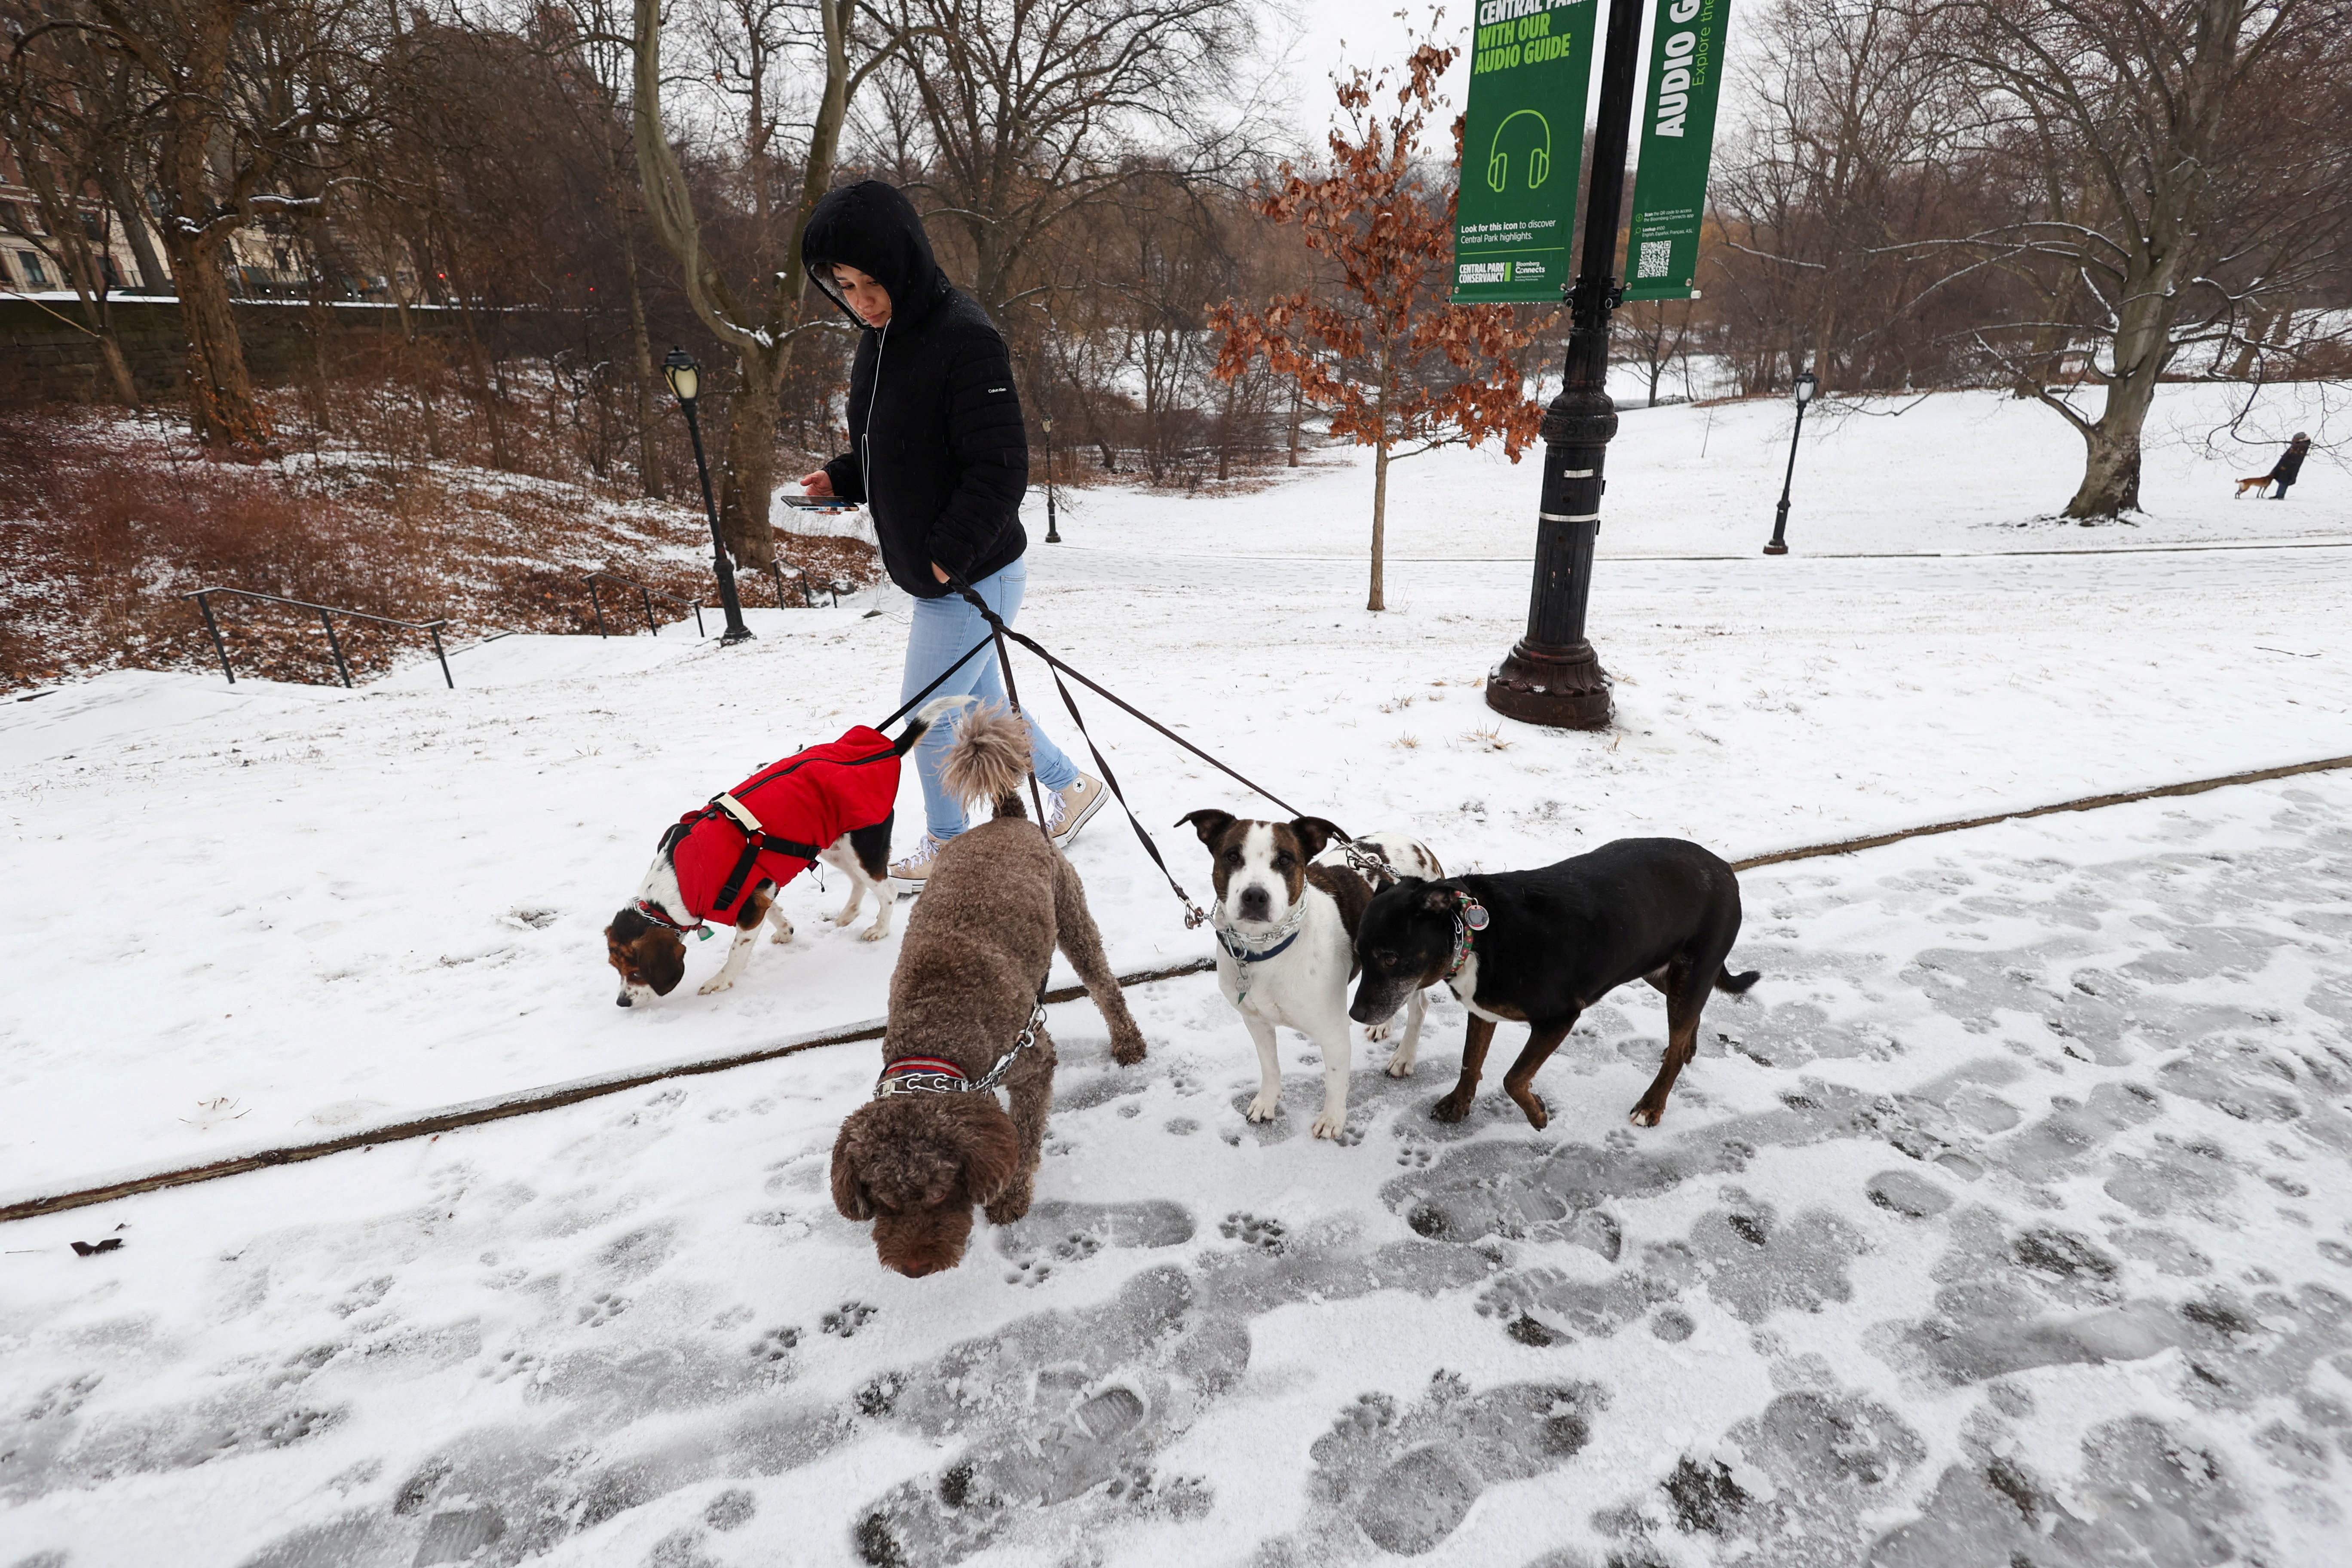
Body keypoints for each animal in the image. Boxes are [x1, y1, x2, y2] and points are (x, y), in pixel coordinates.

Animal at [611, 700, 969, 1006]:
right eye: (615, 967)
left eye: (636, 970)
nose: (622, 1002)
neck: (677, 879)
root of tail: (888, 749)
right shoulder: (760, 890)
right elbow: (774, 911)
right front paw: (785, 931)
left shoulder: (748, 905)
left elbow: (736, 952)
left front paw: (721, 981)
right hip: (832, 846)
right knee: (858, 882)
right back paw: (847, 915)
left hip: (863, 848)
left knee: (887, 890)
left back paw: (879, 929)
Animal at [833, 705, 1152, 1279]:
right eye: (881, 1198)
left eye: (940, 1192)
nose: (914, 1268)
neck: (935, 1034)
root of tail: (1006, 817)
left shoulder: (1032, 1061)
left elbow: (1023, 1139)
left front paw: (1011, 1196)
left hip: (1073, 917)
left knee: (1105, 988)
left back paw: (1128, 1042)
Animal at [1185, 808, 1439, 1142]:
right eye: (1232, 856)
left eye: (1285, 860)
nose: (1255, 896)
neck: (1264, 950)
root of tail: (1418, 845)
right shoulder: (1255, 1021)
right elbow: (1270, 1066)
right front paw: (1267, 1103)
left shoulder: (1333, 1033)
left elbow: (1335, 1081)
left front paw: (1332, 1120)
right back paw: (1382, 1025)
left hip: (1411, 964)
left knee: (1419, 1007)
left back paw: (1404, 1058)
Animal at [1354, 841, 1759, 1133]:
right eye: (1358, 952)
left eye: (1390, 958)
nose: (1355, 1014)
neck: (1474, 934)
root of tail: (1726, 870)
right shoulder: (1483, 1010)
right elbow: (1471, 1062)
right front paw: (1458, 1105)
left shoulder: (1559, 1018)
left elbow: (1514, 1078)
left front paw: (1537, 1114)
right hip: (1662, 970)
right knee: (1690, 1019)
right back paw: (1688, 1049)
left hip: (1691, 971)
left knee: (1676, 1049)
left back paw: (1651, 1105)